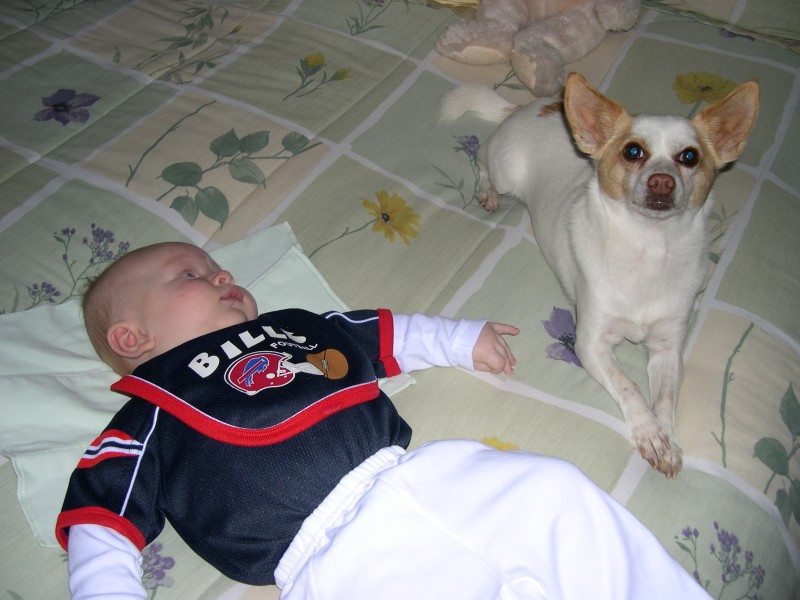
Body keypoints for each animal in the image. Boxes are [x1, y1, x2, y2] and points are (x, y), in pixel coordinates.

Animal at [440, 74, 760, 478]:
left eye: (690, 157)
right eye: (633, 152)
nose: (661, 181)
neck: (649, 247)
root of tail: (535, 105)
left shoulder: (668, 349)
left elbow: (665, 397)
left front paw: (666, 438)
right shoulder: (590, 344)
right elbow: (629, 386)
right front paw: (649, 432)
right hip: (504, 171)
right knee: (481, 160)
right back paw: (485, 192)